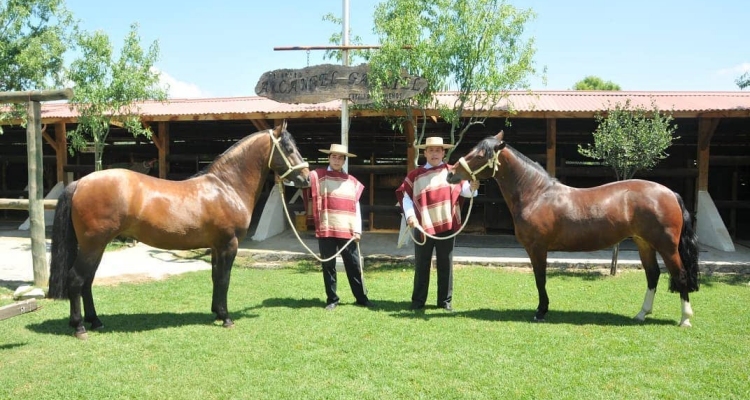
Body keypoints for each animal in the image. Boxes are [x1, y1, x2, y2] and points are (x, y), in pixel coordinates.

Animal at [47, 121, 312, 338]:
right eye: (289, 148)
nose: (307, 178)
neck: (226, 187)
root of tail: (80, 182)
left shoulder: (216, 246)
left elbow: (215, 277)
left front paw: (217, 312)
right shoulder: (229, 245)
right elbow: (224, 279)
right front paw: (226, 318)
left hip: (96, 246)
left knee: (88, 281)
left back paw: (96, 321)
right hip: (93, 245)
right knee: (76, 279)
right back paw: (80, 327)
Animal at [450, 133, 704, 326]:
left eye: (480, 154)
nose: (452, 172)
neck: (536, 195)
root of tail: (670, 193)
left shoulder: (537, 249)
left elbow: (540, 279)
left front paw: (541, 311)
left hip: (666, 246)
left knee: (679, 275)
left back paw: (685, 319)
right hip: (645, 244)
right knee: (653, 275)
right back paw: (641, 314)